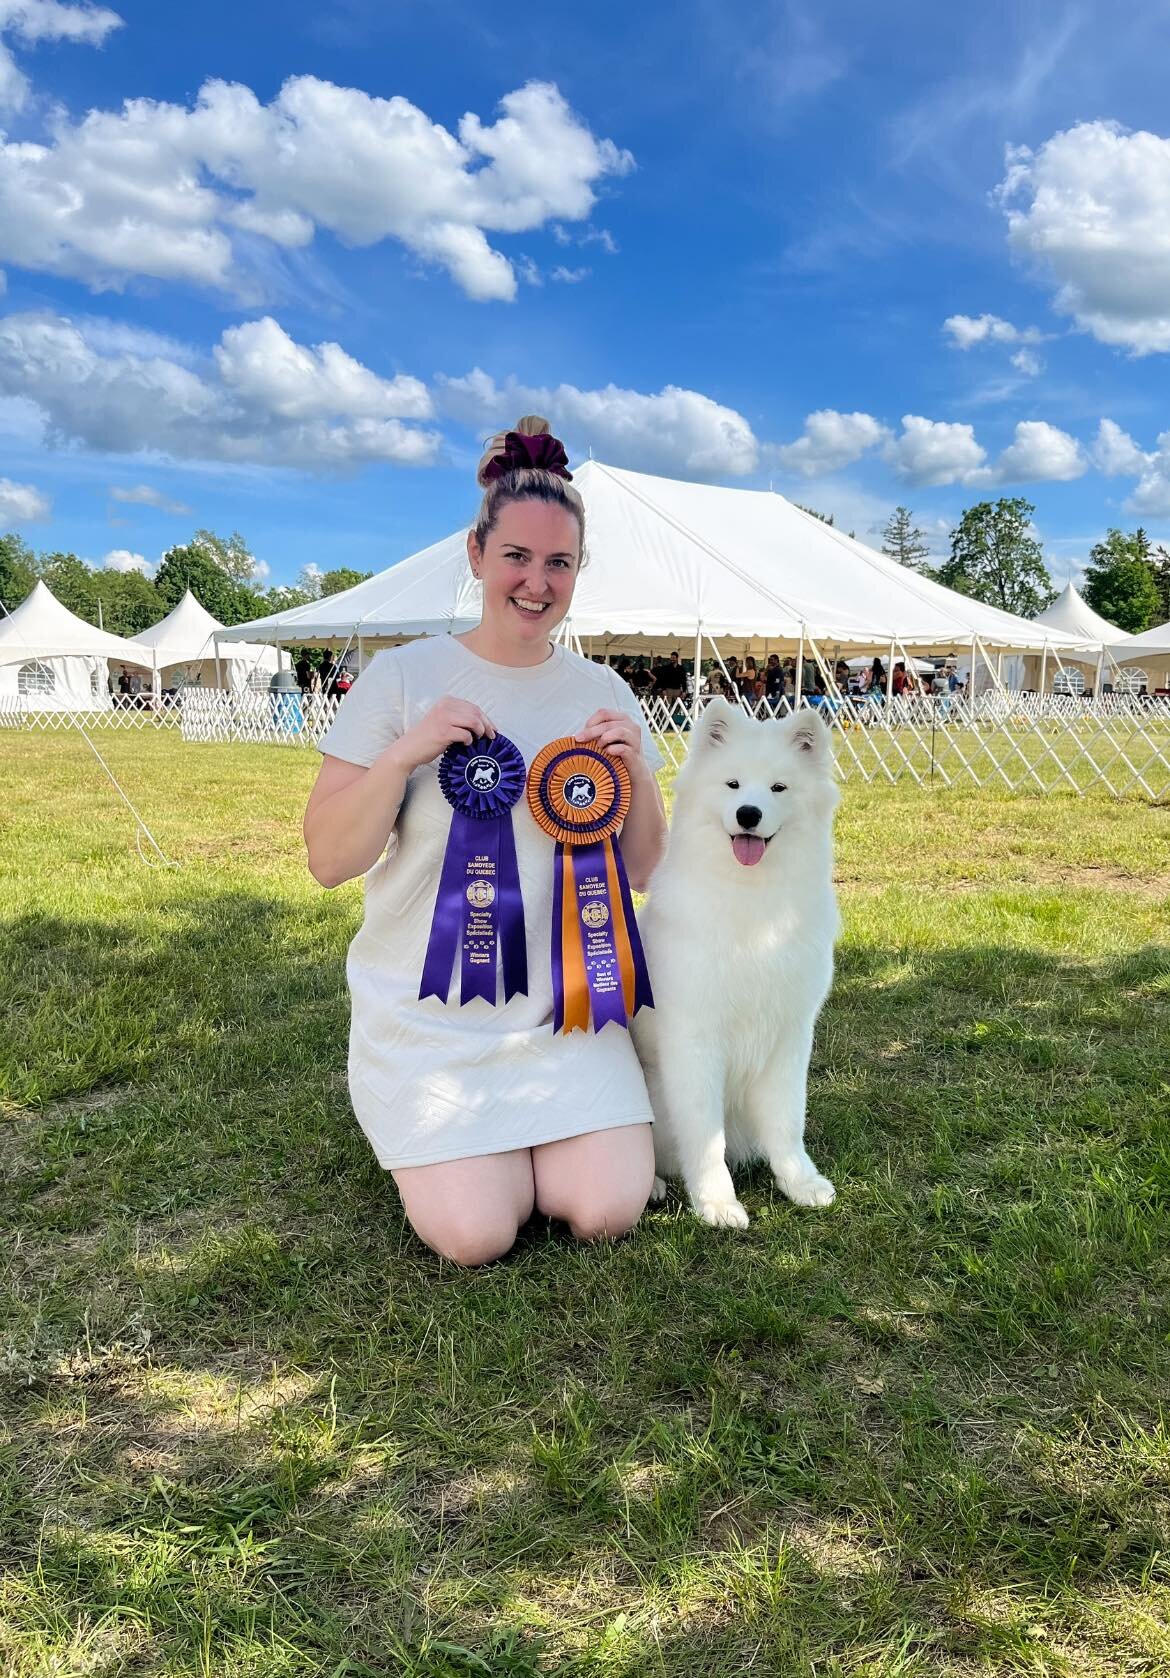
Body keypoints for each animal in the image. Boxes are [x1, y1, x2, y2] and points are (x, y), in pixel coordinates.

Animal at [634, 698, 835, 1235]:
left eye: (778, 788)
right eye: (732, 784)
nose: (749, 813)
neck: (752, 901)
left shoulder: (790, 1034)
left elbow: (787, 1121)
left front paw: (800, 1183)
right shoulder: (696, 1039)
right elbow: (705, 1137)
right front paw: (717, 1203)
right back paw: (653, 1186)